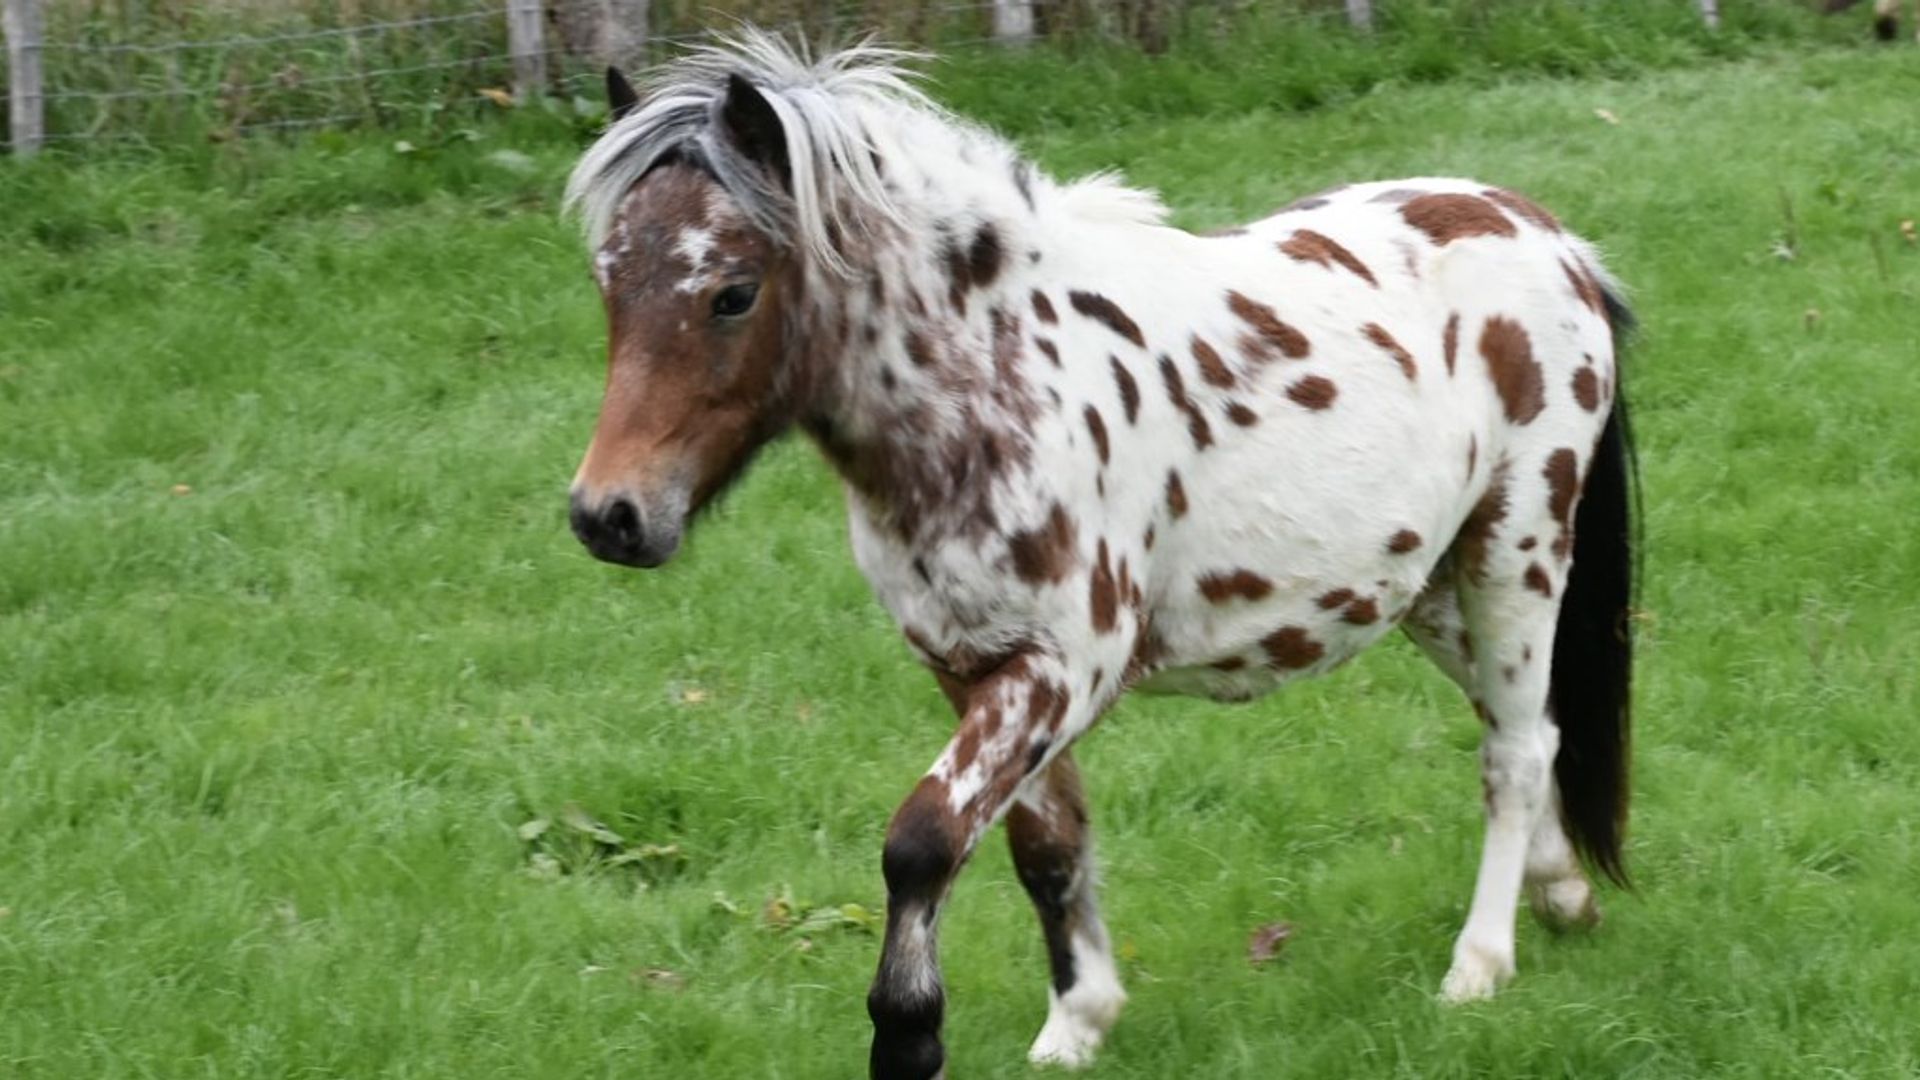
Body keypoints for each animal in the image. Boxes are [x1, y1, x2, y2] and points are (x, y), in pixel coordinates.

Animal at [561, 32, 1636, 1079]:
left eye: (732, 294)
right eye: (607, 284)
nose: (608, 515)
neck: (998, 383)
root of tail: (1553, 240)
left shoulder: (1064, 667)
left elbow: (923, 840)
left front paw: (909, 1035)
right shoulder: (969, 666)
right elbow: (1043, 848)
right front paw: (1076, 1024)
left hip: (1516, 550)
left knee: (1510, 751)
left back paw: (1479, 964)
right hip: (1421, 589)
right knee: (1534, 725)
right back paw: (1564, 897)